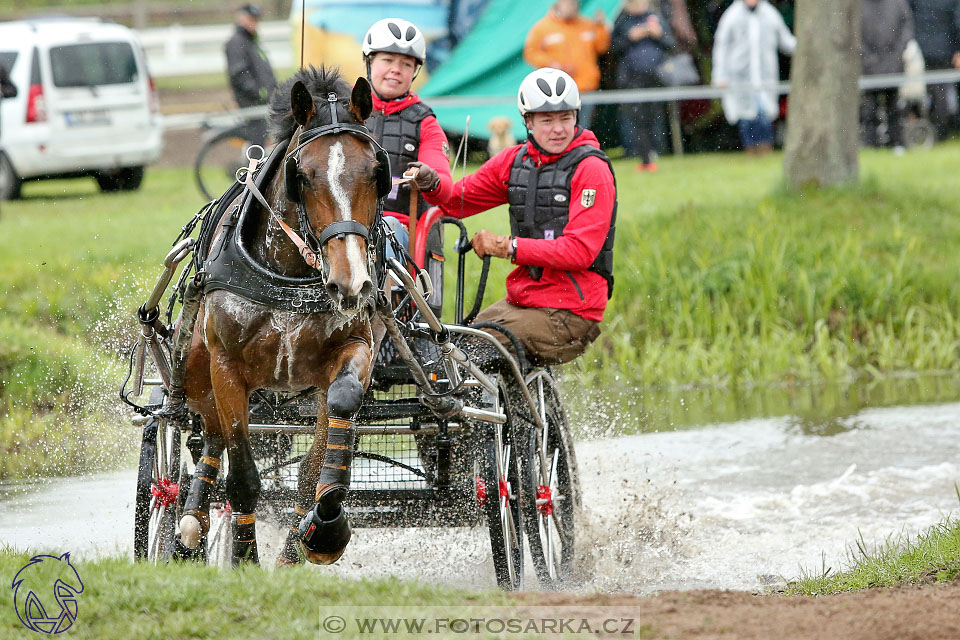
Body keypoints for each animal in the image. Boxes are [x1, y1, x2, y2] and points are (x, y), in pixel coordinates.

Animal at [176, 65, 386, 564]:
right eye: (302, 175)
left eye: (376, 171)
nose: (351, 282)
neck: (287, 276)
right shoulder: (227, 368)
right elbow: (242, 476)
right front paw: (244, 558)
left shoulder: (354, 348)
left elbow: (319, 460)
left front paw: (323, 528)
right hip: (195, 370)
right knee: (209, 431)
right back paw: (193, 517)